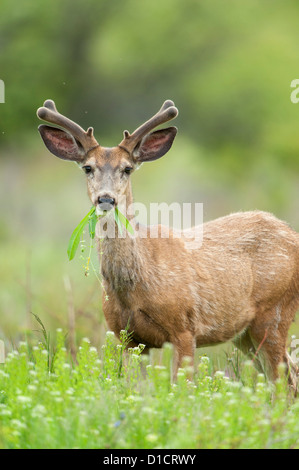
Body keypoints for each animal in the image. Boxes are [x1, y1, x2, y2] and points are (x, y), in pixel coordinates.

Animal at [37, 99, 299, 390]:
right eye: (88, 167)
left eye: (127, 168)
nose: (106, 199)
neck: (136, 285)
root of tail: (292, 234)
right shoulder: (128, 337)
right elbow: (136, 389)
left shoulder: (184, 327)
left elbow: (181, 389)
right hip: (245, 333)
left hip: (274, 312)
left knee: (285, 383)